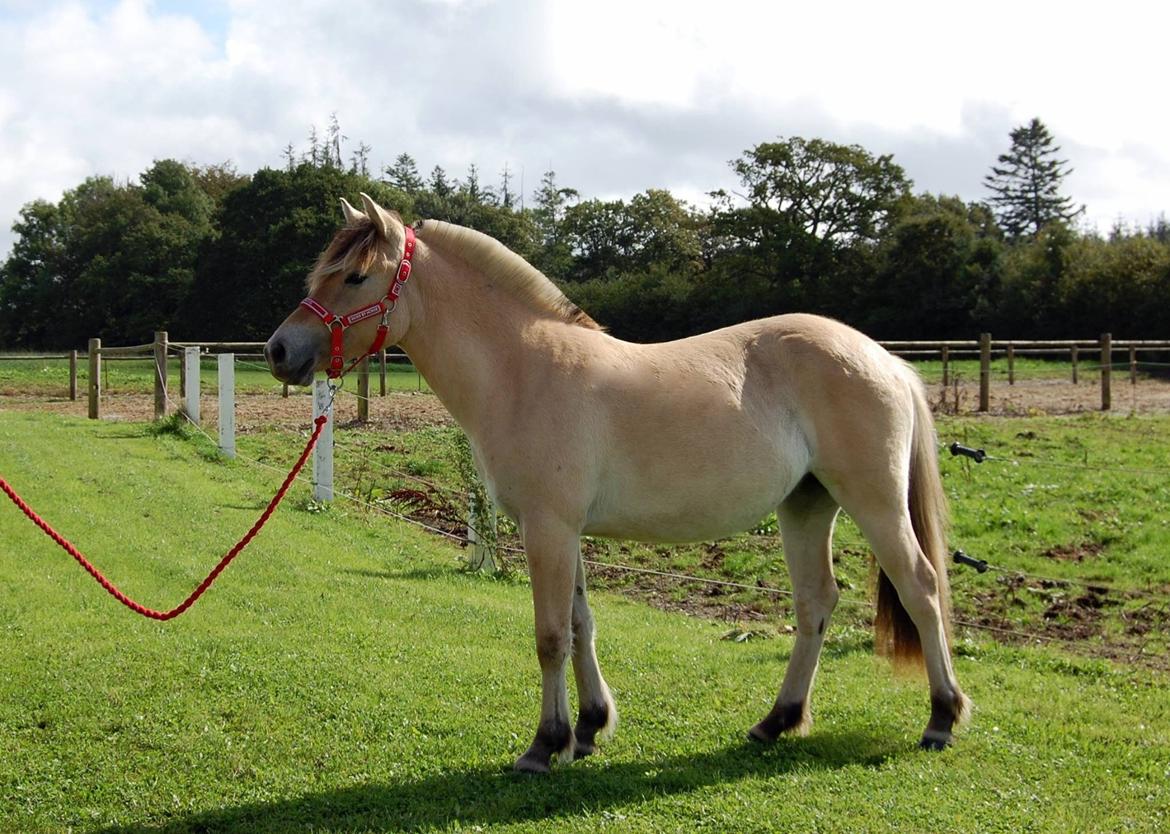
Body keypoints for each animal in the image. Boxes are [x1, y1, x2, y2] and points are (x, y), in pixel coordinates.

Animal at [265, 191, 968, 772]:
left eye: (356, 276)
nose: (278, 350)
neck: (523, 369)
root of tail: (885, 360)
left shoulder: (548, 528)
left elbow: (550, 635)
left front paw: (543, 746)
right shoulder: (563, 531)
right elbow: (581, 625)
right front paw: (588, 729)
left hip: (873, 503)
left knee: (922, 587)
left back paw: (941, 718)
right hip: (805, 507)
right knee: (816, 603)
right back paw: (776, 721)